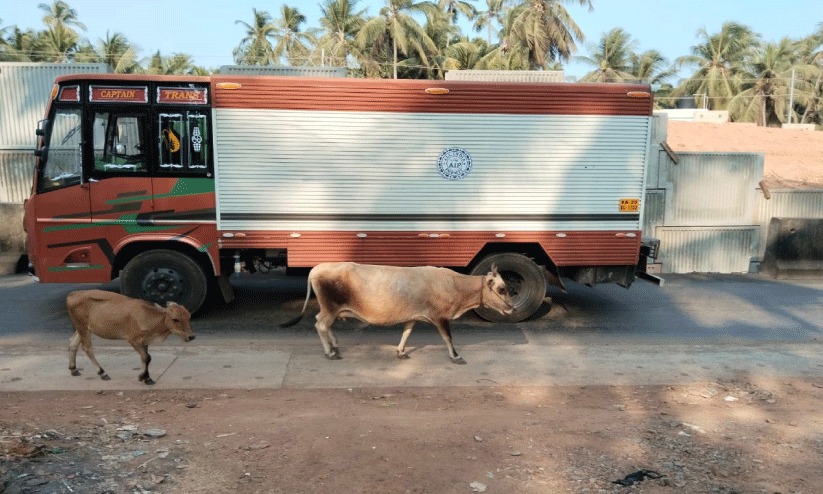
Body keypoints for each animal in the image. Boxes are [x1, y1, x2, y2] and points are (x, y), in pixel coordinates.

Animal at [66, 290, 195, 386]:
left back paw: (74, 369)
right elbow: (147, 357)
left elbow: (146, 358)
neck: (148, 317)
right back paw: (102, 373)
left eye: (188, 316)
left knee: (73, 343)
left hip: (82, 329)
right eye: (175, 319)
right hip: (83, 328)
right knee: (87, 348)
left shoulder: (145, 342)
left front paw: (147, 378)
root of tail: (72, 294)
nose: (191, 336)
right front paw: (143, 377)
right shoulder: (133, 340)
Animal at [284, 262, 516, 362]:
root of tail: (318, 268)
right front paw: (456, 356)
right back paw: (330, 351)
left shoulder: (413, 316)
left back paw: (335, 346)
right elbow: (448, 338)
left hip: (331, 309)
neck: (454, 285)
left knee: (324, 325)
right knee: (320, 324)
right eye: (502, 289)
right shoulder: (440, 317)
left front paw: (401, 351)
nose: (512, 308)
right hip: (330, 308)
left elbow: (407, 332)